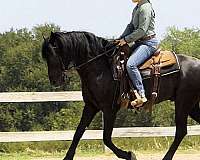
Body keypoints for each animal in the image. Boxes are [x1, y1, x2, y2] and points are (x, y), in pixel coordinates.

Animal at [41, 31, 200, 160]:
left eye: (54, 53)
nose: (54, 80)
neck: (101, 68)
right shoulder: (91, 106)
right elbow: (78, 132)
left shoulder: (109, 109)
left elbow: (106, 138)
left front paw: (129, 155)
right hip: (191, 106)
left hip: (184, 102)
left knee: (180, 131)